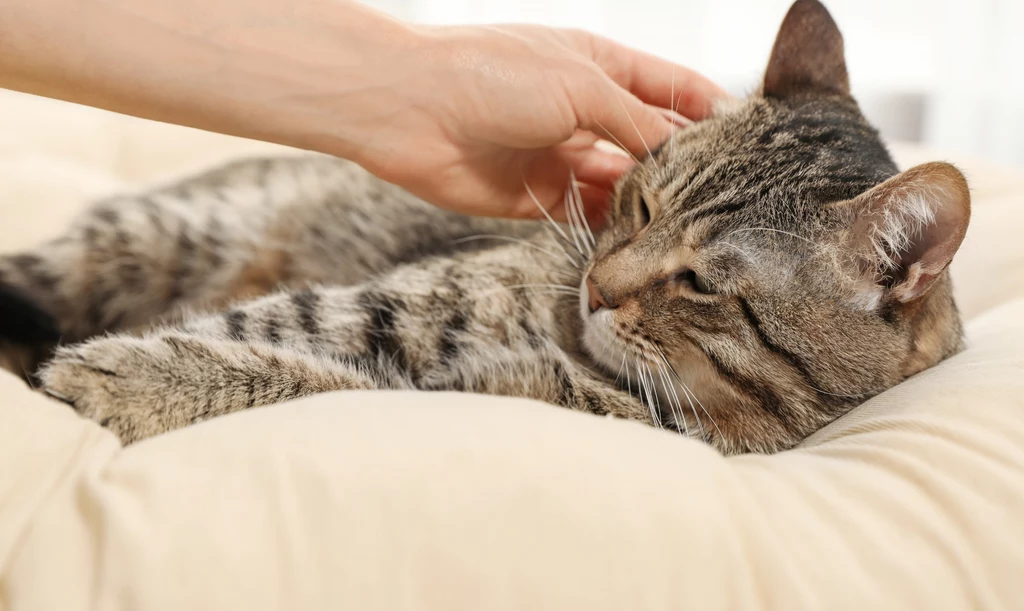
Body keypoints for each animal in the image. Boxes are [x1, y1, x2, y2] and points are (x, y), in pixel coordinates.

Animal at [0, 1, 970, 452]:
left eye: (700, 283)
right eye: (642, 206)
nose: (593, 288)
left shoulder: (454, 398)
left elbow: (296, 375)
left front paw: (130, 375)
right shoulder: (391, 307)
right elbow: (272, 325)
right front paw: (126, 367)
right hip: (157, 235)